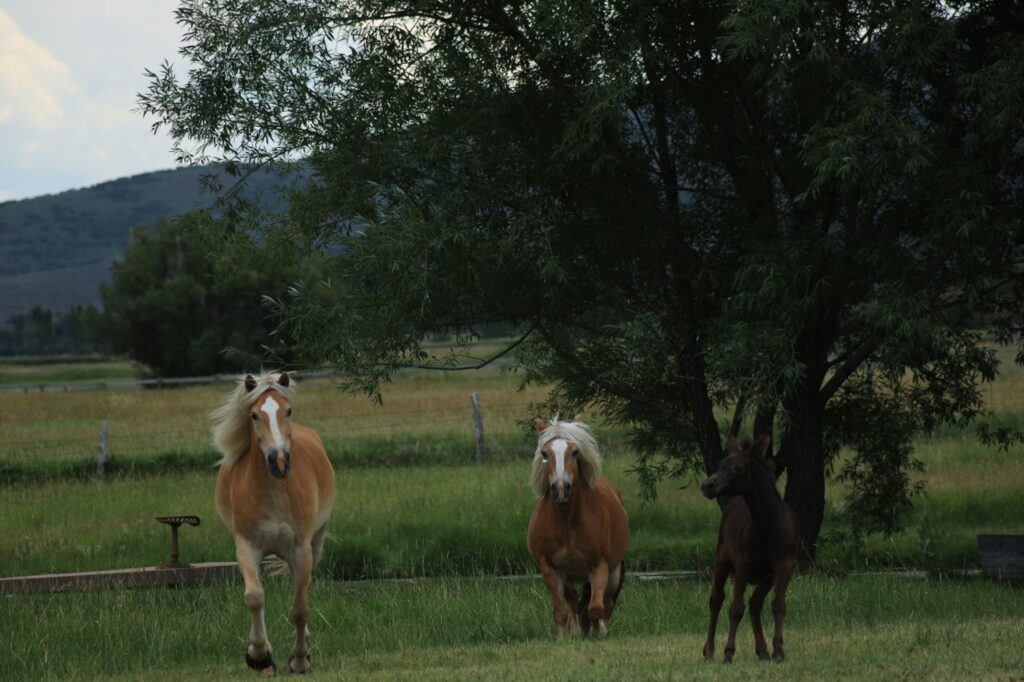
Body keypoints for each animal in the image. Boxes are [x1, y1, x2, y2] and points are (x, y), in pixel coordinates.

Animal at [211, 371, 335, 675]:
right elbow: (255, 597)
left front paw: (300, 659)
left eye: (288, 410)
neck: (274, 492)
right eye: (255, 415)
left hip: (315, 545)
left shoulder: (301, 550)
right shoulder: (247, 547)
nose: (278, 460)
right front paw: (259, 655)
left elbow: (300, 608)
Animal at [526, 416, 630, 638]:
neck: (568, 523)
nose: (560, 489)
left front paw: (597, 633)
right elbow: (561, 611)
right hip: (568, 577)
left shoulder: (600, 566)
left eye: (574, 452)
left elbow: (596, 608)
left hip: (614, 572)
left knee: (606, 603)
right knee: (573, 601)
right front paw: (564, 638)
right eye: (544, 453)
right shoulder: (550, 569)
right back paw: (576, 632)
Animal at [699, 433, 796, 663]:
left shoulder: (785, 564)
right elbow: (735, 608)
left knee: (755, 603)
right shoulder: (742, 564)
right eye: (719, 464)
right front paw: (728, 652)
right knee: (716, 599)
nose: (707, 485)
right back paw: (709, 650)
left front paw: (778, 650)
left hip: (765, 576)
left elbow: (779, 605)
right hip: (722, 559)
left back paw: (762, 649)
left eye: (739, 467)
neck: (767, 525)